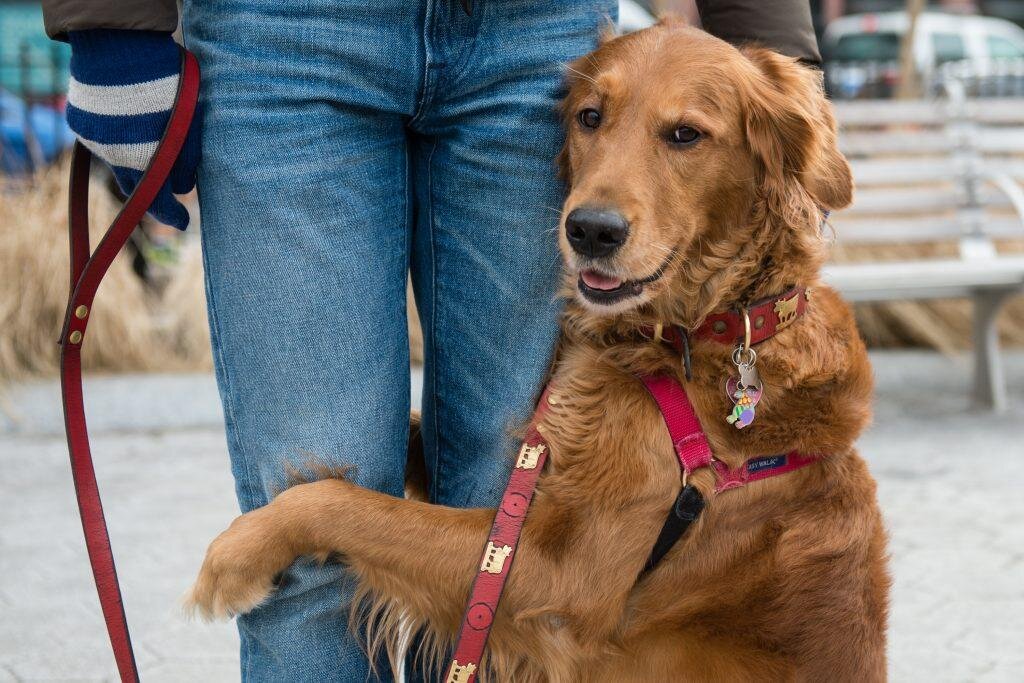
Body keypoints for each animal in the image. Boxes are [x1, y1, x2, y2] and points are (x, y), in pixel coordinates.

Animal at [190, 18, 888, 679]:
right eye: (590, 117)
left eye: (686, 135)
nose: (591, 231)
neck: (697, 335)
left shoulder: (563, 575)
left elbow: (348, 503)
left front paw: (238, 554)